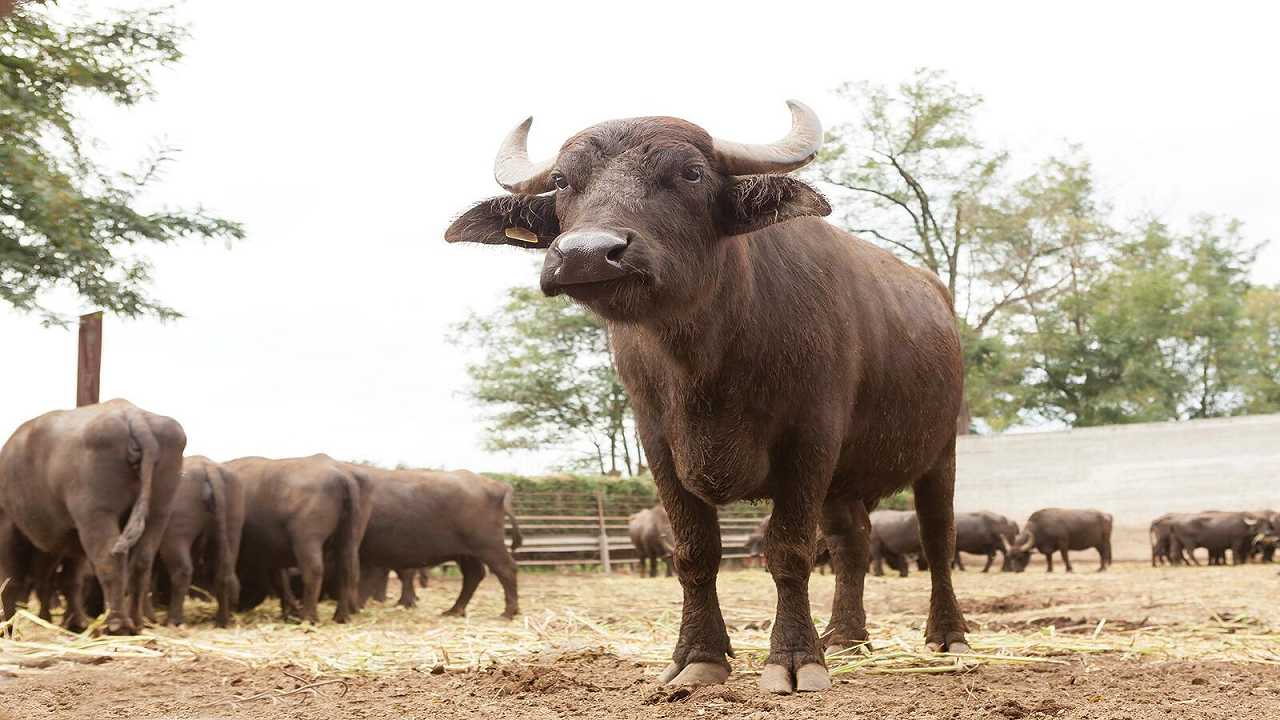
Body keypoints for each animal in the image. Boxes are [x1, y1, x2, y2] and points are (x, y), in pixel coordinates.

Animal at [0, 397, 186, 632]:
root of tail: (133, 415)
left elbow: (12, 580)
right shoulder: (71, 538)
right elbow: (69, 580)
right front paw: (72, 621)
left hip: (97, 515)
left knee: (109, 560)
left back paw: (116, 624)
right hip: (158, 511)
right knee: (141, 562)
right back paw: (135, 621)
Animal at [149, 456, 244, 625]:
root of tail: (208, 468)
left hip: (176, 532)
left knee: (182, 571)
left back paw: (173, 619)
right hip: (233, 525)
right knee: (225, 571)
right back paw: (222, 620)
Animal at [226, 456, 371, 620]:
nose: (238, 606)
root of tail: (344, 477)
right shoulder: (272, 553)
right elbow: (280, 580)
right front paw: (289, 611)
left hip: (307, 541)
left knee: (313, 571)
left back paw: (308, 616)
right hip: (349, 539)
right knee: (348, 571)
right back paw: (341, 616)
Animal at [348, 466, 522, 617]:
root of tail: (498, 486)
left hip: (488, 546)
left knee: (506, 569)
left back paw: (508, 612)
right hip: (465, 553)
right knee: (474, 574)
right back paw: (454, 610)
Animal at [445, 101, 962, 691]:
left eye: (690, 174)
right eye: (561, 181)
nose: (587, 254)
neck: (705, 361)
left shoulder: (811, 437)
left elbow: (789, 550)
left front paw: (794, 658)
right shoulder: (657, 442)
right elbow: (695, 552)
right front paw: (699, 655)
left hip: (940, 453)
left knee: (937, 540)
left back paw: (947, 634)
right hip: (844, 482)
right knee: (852, 544)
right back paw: (846, 638)